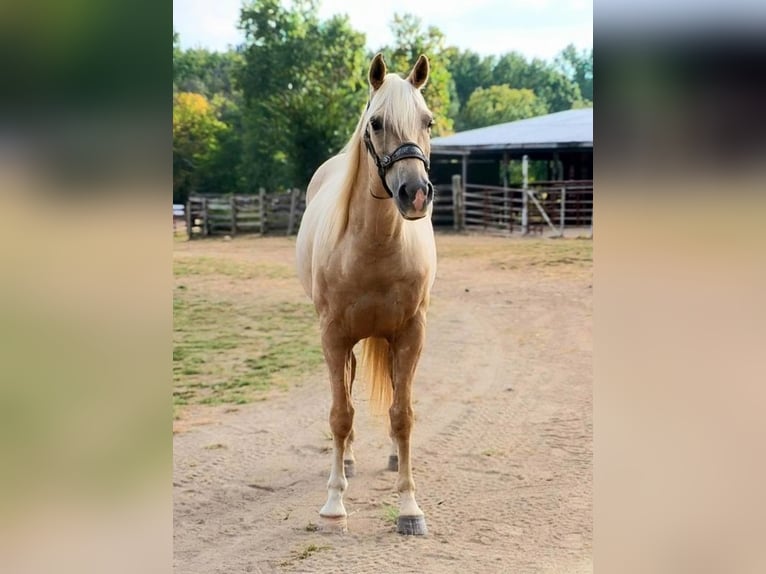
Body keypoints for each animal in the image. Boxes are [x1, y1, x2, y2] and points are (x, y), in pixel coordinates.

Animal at [295, 53, 436, 536]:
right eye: (375, 123)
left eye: (428, 121)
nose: (415, 194)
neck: (373, 248)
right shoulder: (333, 337)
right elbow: (341, 414)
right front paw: (334, 502)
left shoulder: (410, 334)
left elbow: (403, 414)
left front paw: (409, 507)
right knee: (350, 389)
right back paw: (350, 462)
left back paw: (392, 457)